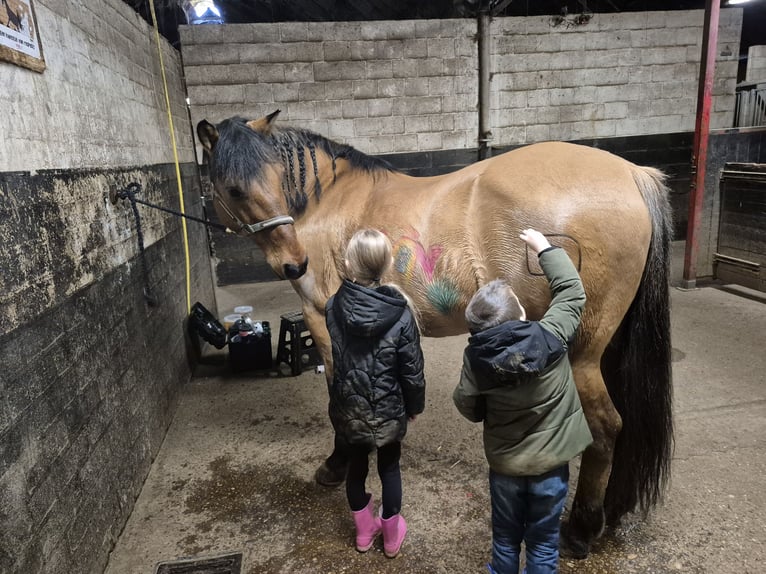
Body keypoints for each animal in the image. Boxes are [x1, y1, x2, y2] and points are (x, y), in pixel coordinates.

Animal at [196, 110, 672, 560]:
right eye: (236, 189)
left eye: (272, 179)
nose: (295, 263)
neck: (326, 202)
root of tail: (633, 174)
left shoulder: (323, 321)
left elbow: (337, 400)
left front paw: (335, 464)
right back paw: (611, 512)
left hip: (581, 355)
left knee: (607, 427)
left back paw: (582, 529)